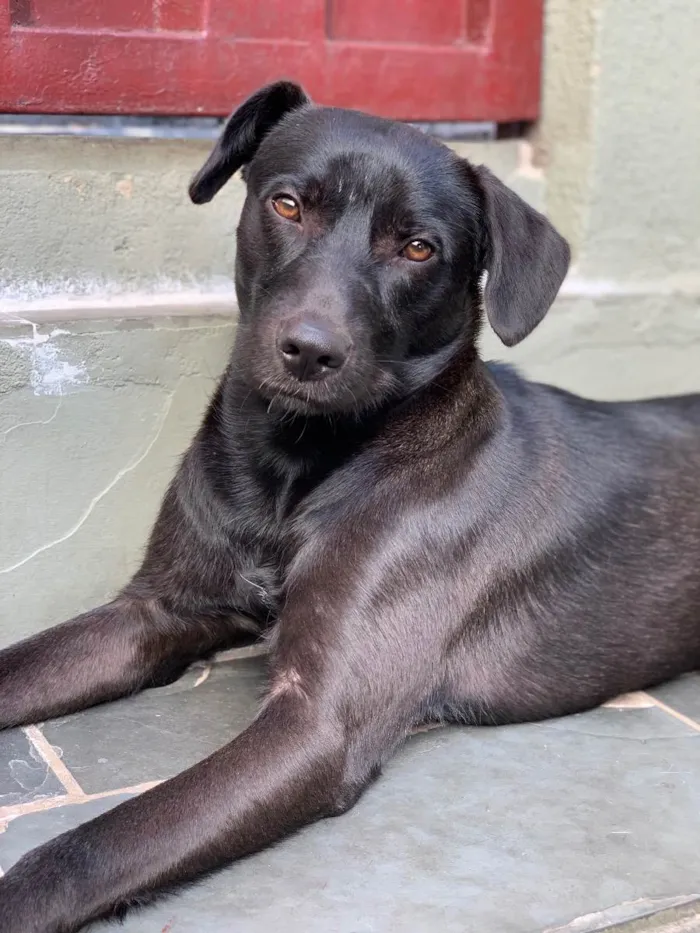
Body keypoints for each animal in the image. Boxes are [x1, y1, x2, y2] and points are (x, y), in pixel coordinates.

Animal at [1, 83, 700, 928]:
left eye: (419, 249)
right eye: (289, 204)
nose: (310, 350)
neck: (294, 470)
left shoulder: (316, 721)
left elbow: (100, 843)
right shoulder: (154, 611)